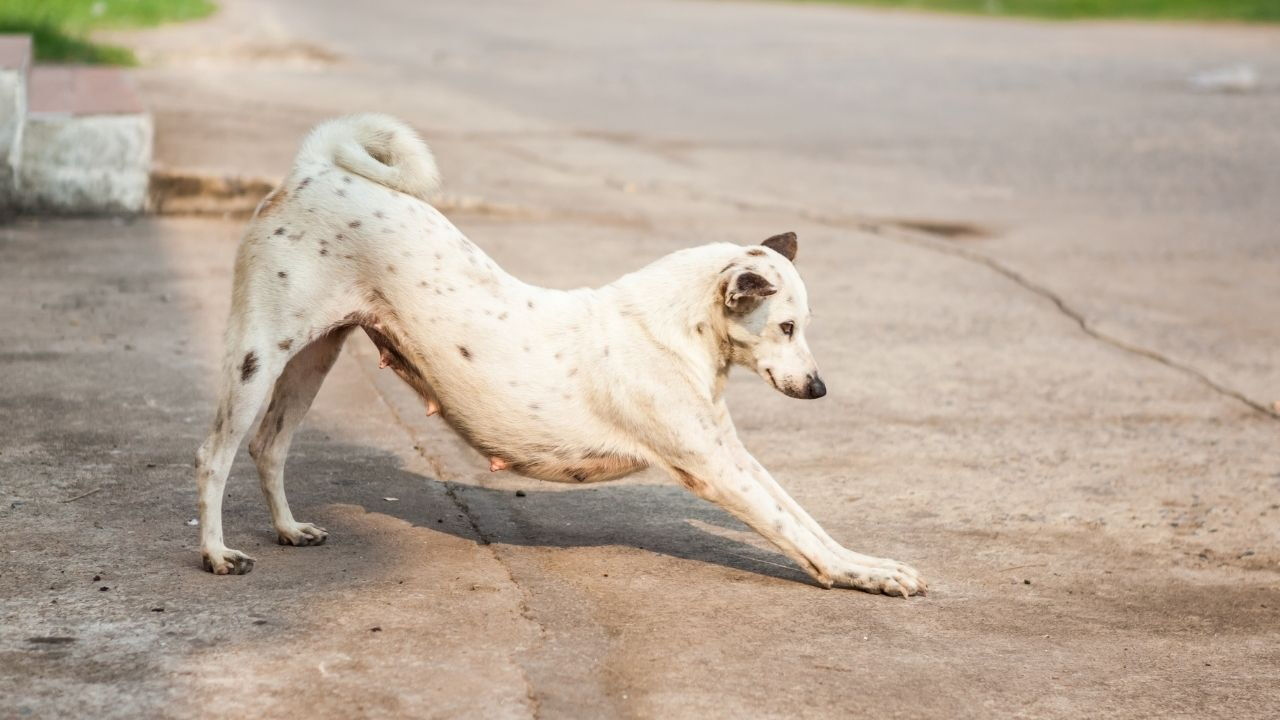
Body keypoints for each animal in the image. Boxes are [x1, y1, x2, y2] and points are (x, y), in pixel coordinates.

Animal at [194, 112, 926, 594]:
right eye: (786, 327)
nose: (820, 388)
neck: (677, 331)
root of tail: (315, 170)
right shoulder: (717, 468)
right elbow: (793, 530)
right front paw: (860, 576)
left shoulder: (732, 454)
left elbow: (806, 519)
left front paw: (872, 564)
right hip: (258, 357)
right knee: (215, 455)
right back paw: (217, 554)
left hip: (313, 358)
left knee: (269, 447)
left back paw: (289, 530)